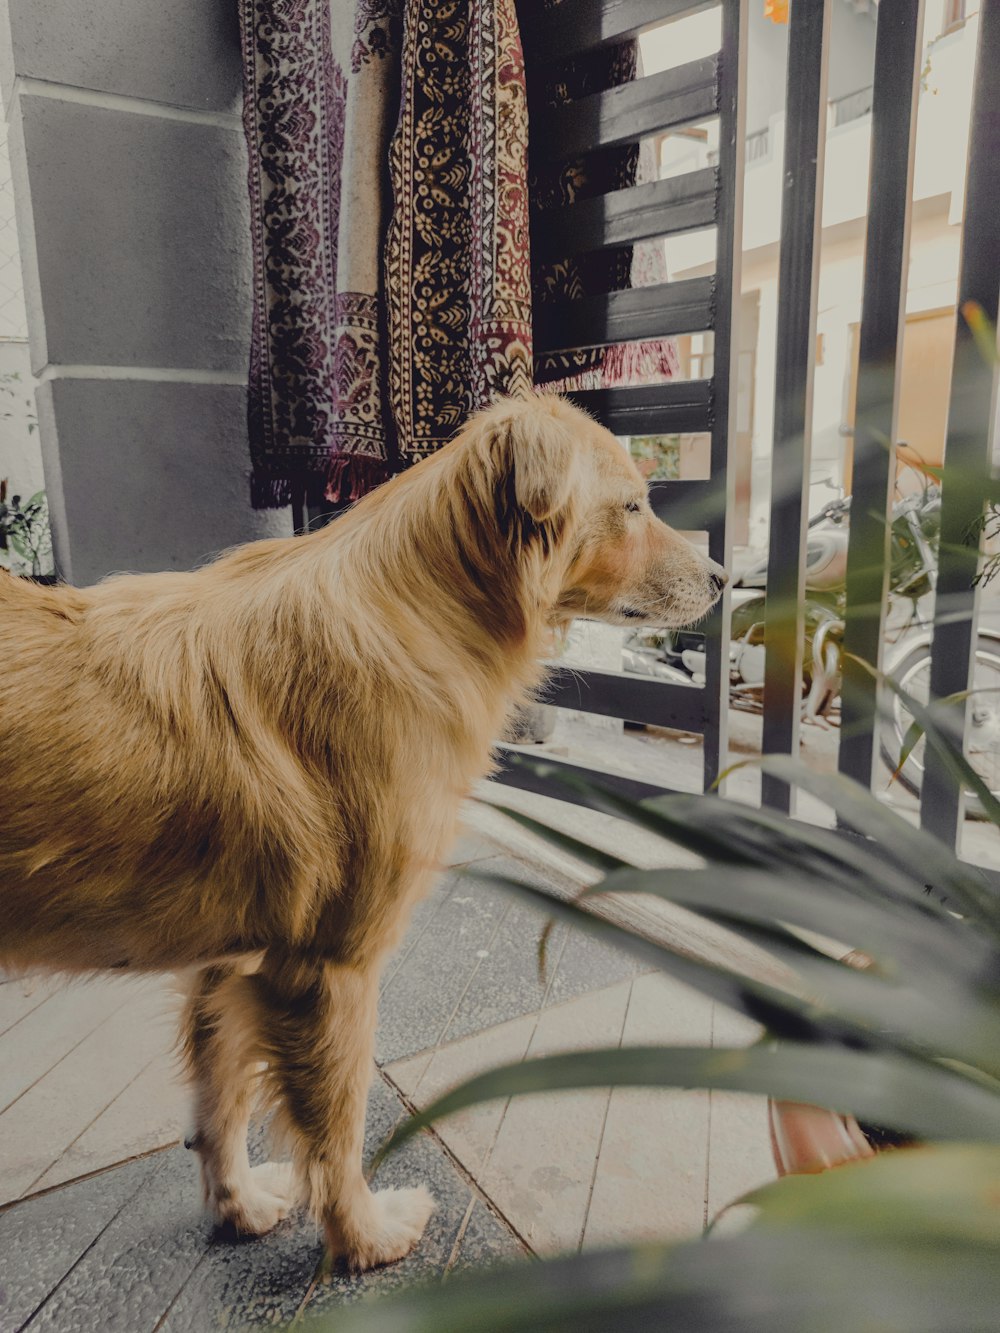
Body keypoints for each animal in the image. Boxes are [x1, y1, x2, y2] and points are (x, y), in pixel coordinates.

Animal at [0, 389, 725, 1263]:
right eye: (632, 506)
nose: (727, 578)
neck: (421, 612)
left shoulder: (228, 959)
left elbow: (220, 1103)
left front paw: (238, 1205)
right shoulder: (326, 968)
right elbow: (338, 1124)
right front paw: (362, 1235)